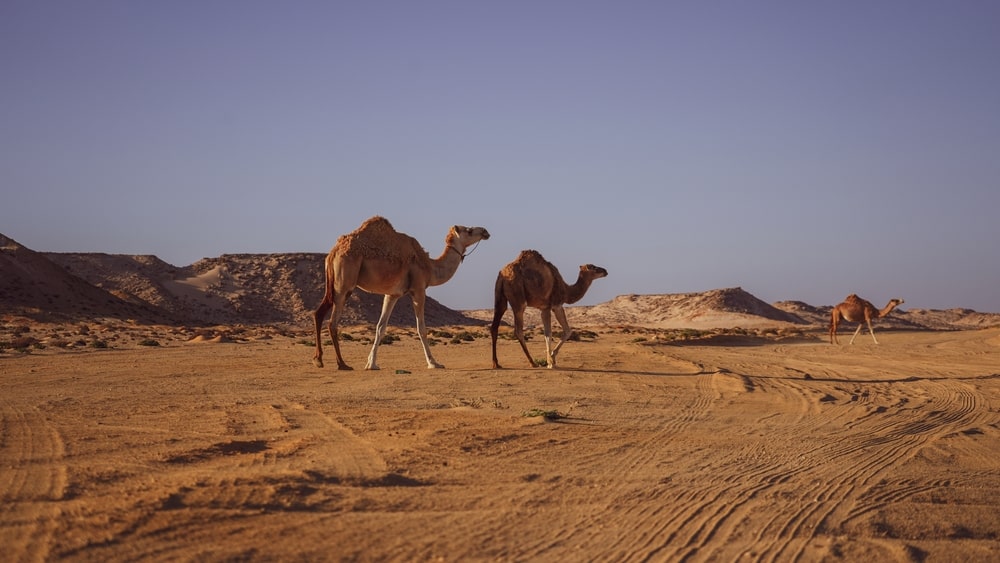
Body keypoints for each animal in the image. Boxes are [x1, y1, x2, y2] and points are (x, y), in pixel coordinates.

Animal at [308, 216, 488, 370]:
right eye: (469, 230)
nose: (485, 231)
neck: (430, 268)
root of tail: (333, 252)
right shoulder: (418, 290)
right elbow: (421, 328)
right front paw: (434, 363)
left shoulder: (392, 294)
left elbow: (381, 327)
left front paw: (371, 364)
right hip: (344, 283)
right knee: (332, 322)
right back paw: (342, 364)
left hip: (334, 285)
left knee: (318, 313)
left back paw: (318, 360)